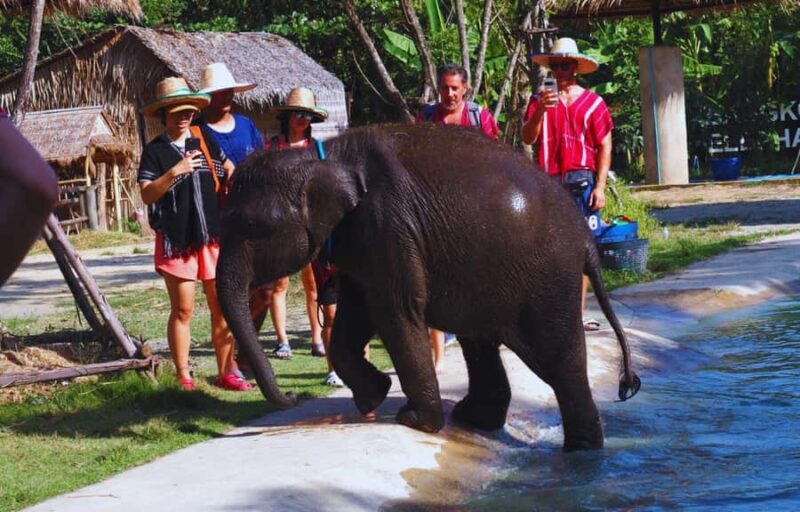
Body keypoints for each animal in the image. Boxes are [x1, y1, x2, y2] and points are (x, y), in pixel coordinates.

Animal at [216, 123, 640, 451]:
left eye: (253, 227)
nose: (290, 397)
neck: (323, 156)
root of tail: (587, 241)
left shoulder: (387, 226)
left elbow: (395, 311)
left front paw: (413, 421)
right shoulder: (360, 240)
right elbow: (357, 311)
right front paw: (373, 396)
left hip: (548, 280)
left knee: (558, 360)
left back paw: (581, 452)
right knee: (479, 341)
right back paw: (474, 418)